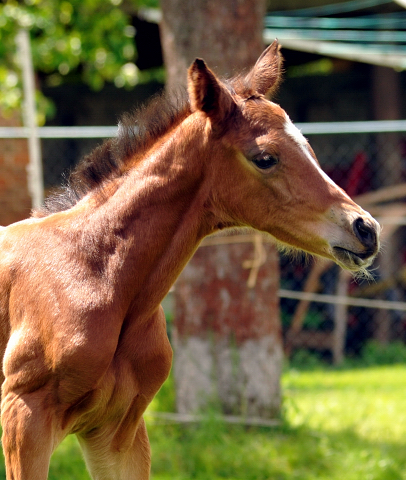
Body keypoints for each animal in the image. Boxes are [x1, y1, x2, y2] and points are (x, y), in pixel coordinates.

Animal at [0, 42, 380, 480]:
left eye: (311, 150)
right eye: (265, 158)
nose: (365, 229)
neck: (96, 272)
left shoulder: (117, 430)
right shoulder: (24, 419)